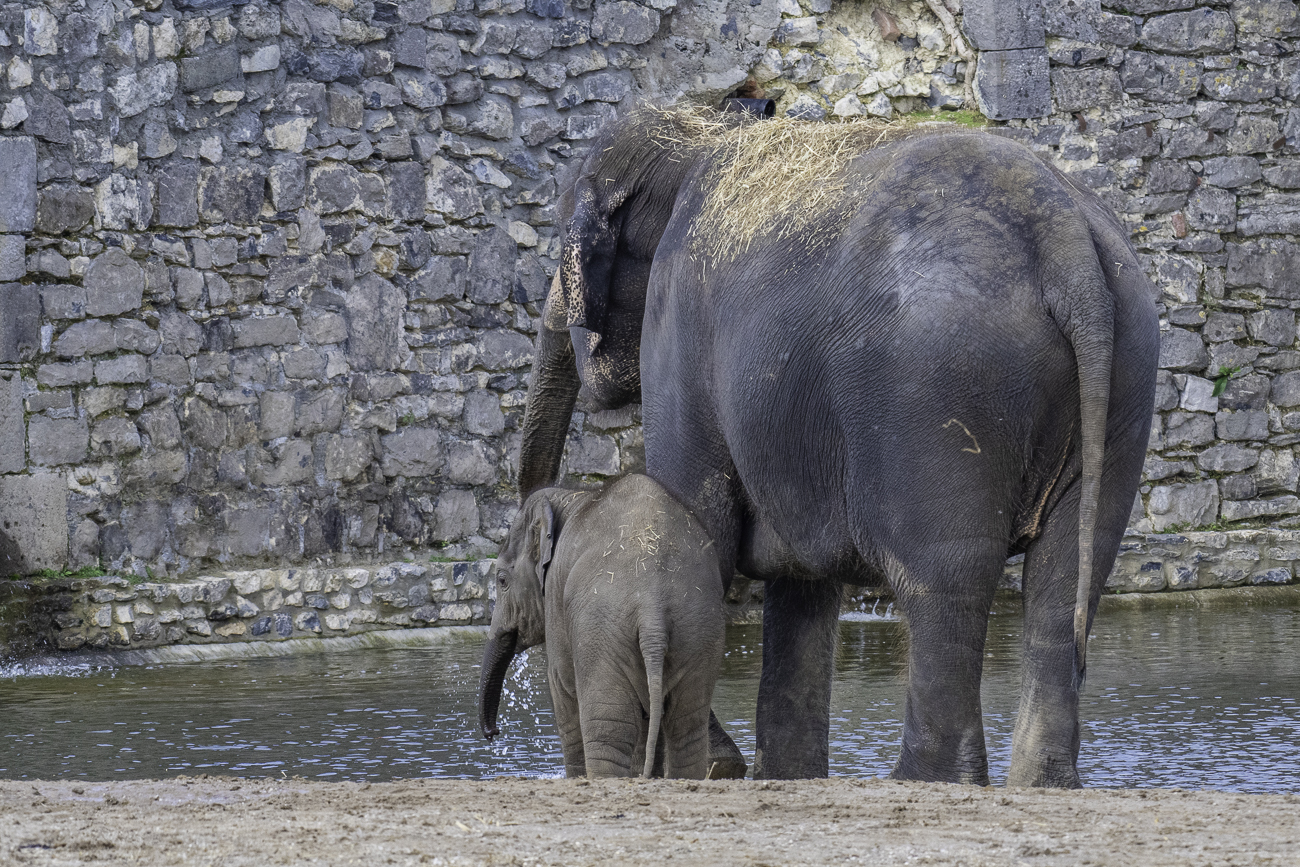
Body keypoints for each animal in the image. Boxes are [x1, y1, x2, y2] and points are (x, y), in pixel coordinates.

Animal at [478, 475, 728, 779]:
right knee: (686, 730)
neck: (568, 496)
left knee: (608, 730)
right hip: (697, 628)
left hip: (601, 632)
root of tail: (652, 608)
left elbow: (561, 686)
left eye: (502, 580)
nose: (493, 734)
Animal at [512, 106, 1154, 785]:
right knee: (1066, 579)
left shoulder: (677, 324)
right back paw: (1040, 782)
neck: (699, 133)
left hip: (938, 391)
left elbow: (699, 518)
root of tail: (1063, 237)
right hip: (1126, 369)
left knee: (945, 580)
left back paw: (922, 779)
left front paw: (718, 767)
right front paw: (778, 772)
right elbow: (800, 581)